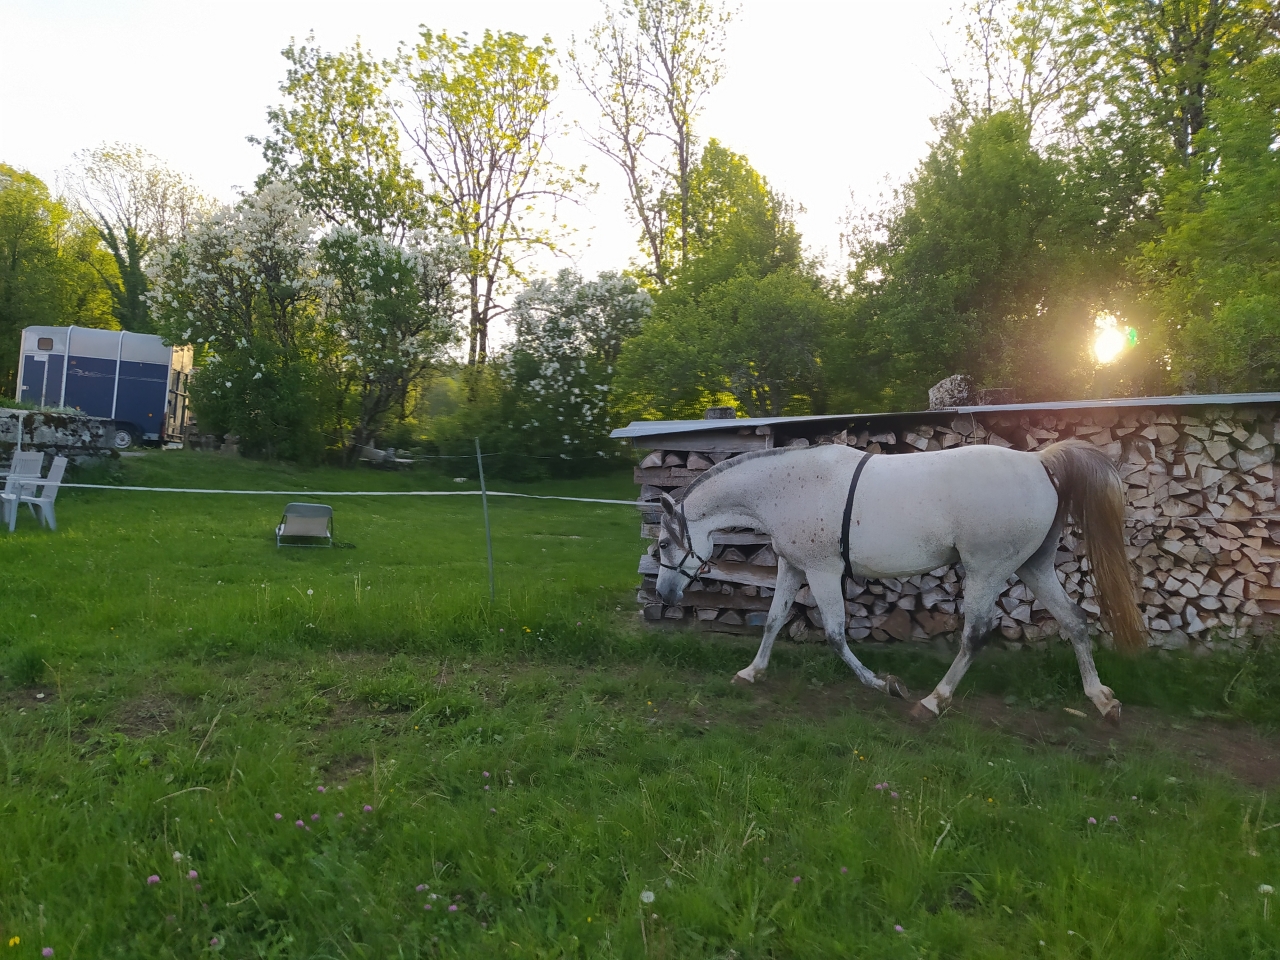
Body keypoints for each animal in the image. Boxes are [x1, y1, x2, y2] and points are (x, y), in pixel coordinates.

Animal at [653, 440, 1145, 722]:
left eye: (660, 545)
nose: (664, 594)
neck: (787, 487)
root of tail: (1040, 462)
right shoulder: (792, 566)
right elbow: (773, 622)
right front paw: (751, 672)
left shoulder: (823, 571)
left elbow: (835, 635)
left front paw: (883, 684)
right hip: (1033, 566)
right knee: (1075, 620)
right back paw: (1101, 699)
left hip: (986, 569)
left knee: (975, 634)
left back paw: (932, 701)